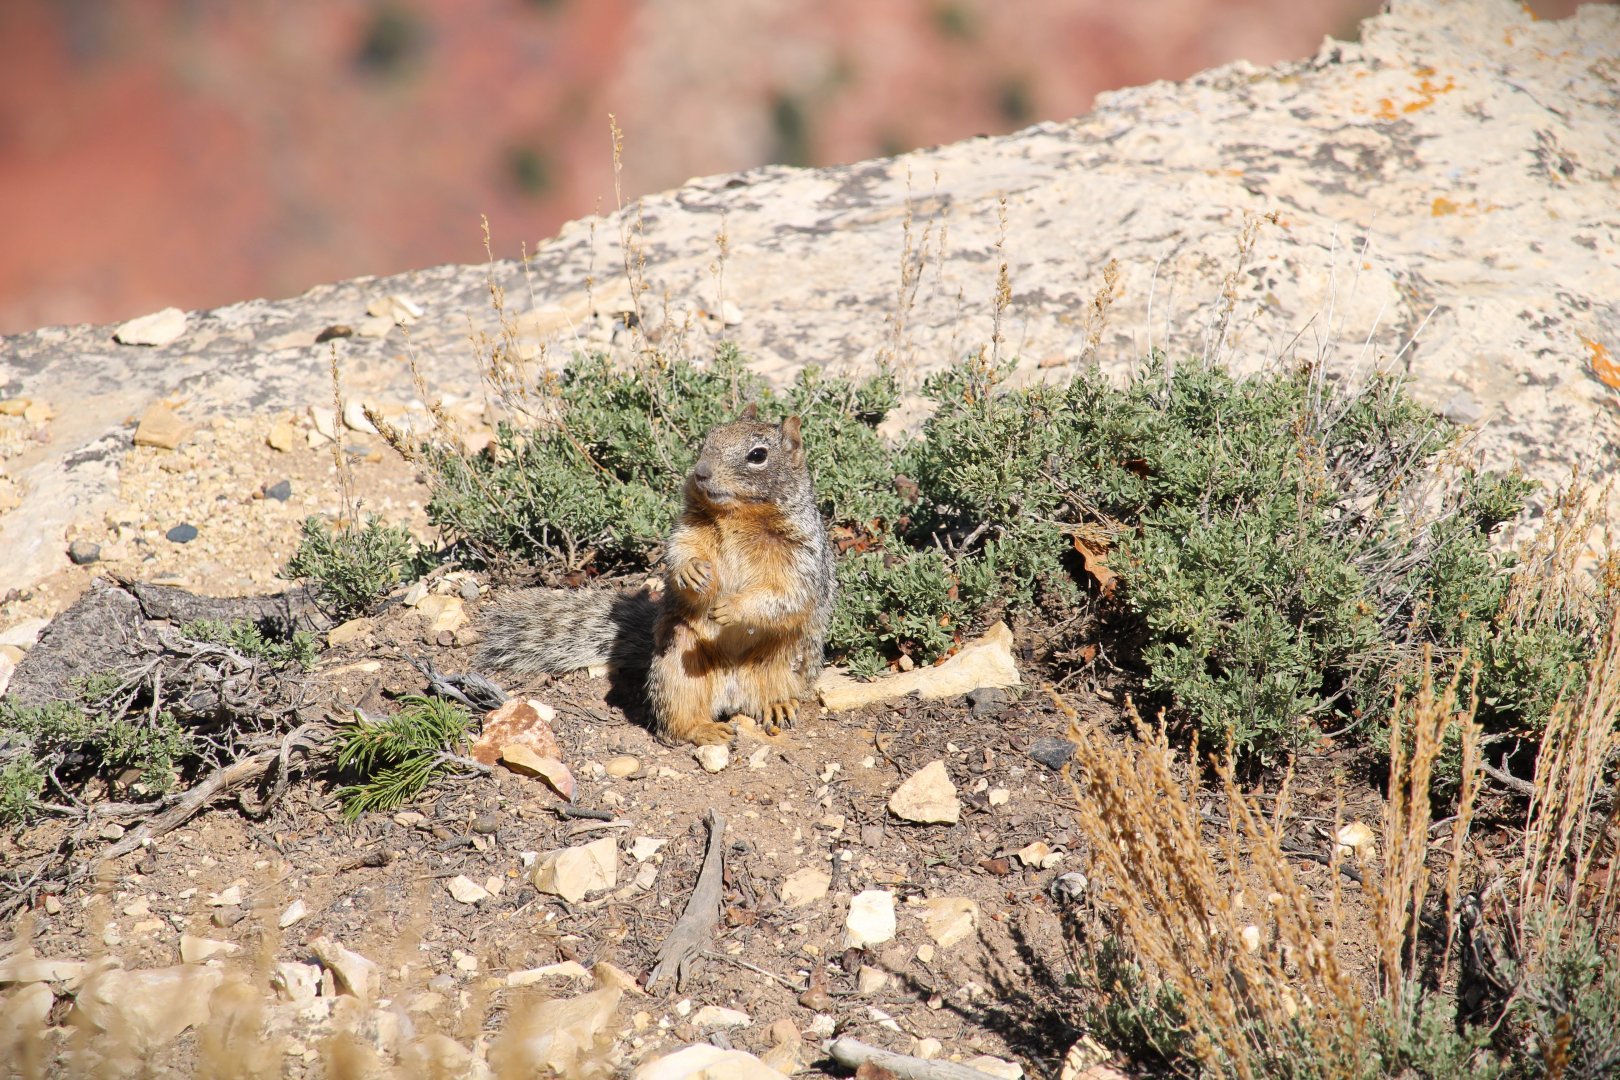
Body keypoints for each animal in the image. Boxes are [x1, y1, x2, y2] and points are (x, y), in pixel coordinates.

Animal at [478, 407, 837, 746]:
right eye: (709, 437)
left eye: (758, 455)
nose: (701, 472)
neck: (739, 516)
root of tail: (733, 693)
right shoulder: (688, 530)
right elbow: (680, 554)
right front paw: (691, 571)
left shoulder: (801, 556)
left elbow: (785, 594)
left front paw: (731, 608)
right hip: (677, 662)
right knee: (677, 722)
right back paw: (705, 729)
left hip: (786, 664)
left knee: (769, 693)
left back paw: (777, 706)